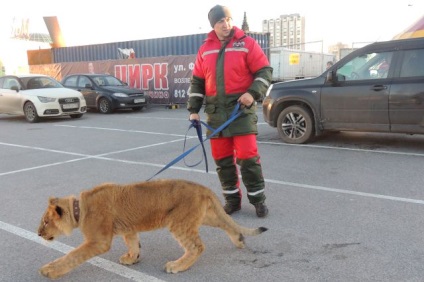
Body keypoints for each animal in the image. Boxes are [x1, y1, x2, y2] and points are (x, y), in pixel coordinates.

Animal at [38, 178, 266, 278]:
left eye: (46, 222)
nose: (38, 233)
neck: (79, 209)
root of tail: (201, 187)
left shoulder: (98, 241)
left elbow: (72, 256)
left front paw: (50, 270)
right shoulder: (128, 228)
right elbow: (133, 244)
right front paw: (132, 258)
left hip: (179, 222)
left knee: (196, 247)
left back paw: (177, 265)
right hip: (202, 216)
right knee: (224, 222)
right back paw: (239, 239)